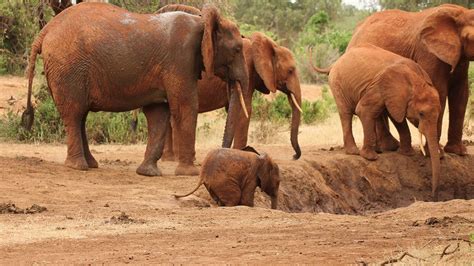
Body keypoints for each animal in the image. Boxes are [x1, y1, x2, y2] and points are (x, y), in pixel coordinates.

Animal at [21, 3, 248, 177]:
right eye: (237, 49)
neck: (202, 22)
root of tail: (45, 30)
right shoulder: (180, 60)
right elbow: (185, 107)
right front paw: (189, 173)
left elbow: (158, 113)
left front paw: (148, 173)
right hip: (68, 68)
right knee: (74, 113)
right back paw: (79, 167)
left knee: (80, 115)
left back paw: (91, 165)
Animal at [348, 3, 474, 156]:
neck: (460, 13)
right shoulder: (428, 53)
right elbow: (439, 91)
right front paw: (437, 154)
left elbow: (461, 95)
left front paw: (458, 152)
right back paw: (389, 147)